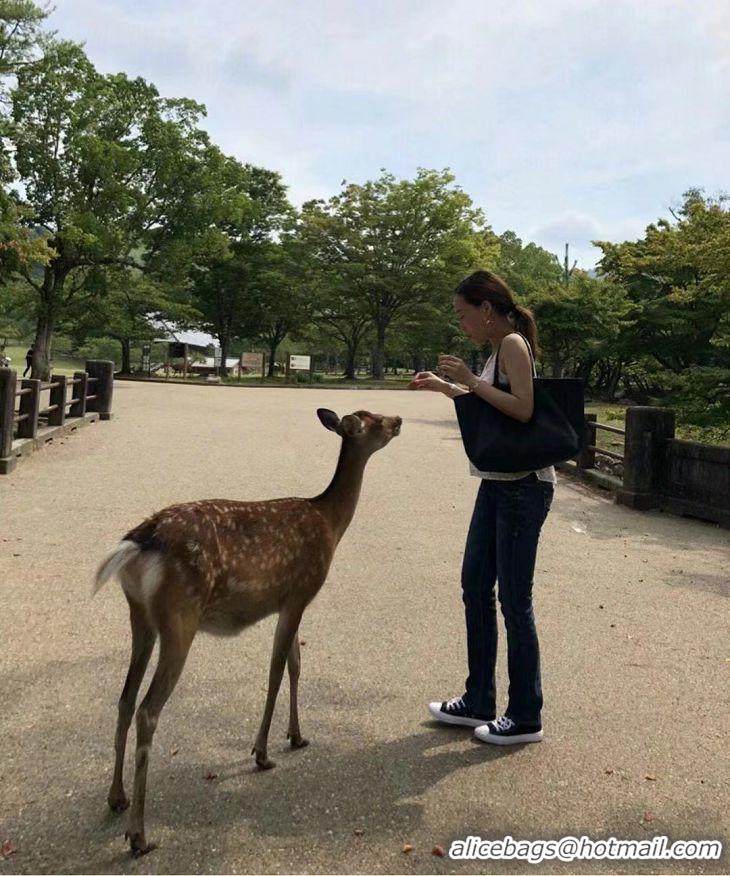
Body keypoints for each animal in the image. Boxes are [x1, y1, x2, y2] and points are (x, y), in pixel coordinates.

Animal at [93, 406, 400, 856]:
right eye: (373, 421)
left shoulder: (287, 604)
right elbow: (276, 670)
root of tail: (138, 541)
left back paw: (117, 798)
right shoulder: (299, 592)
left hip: (140, 617)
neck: (330, 523)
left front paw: (297, 735)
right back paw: (139, 836)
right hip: (179, 617)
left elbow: (295, 664)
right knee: (149, 708)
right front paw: (262, 752)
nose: (398, 420)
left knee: (125, 699)